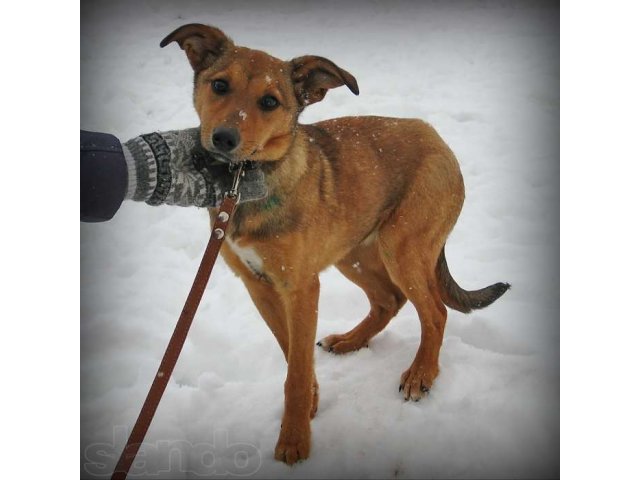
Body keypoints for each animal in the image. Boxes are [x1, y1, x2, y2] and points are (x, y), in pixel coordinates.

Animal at [161, 23, 510, 464]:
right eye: (219, 85)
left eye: (270, 101)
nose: (223, 140)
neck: (246, 183)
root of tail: (435, 136)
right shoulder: (260, 286)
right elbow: (292, 354)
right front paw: (311, 403)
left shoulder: (301, 287)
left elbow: (295, 371)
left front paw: (294, 439)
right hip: (353, 251)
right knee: (388, 301)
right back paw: (350, 342)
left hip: (402, 247)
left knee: (434, 312)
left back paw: (420, 375)